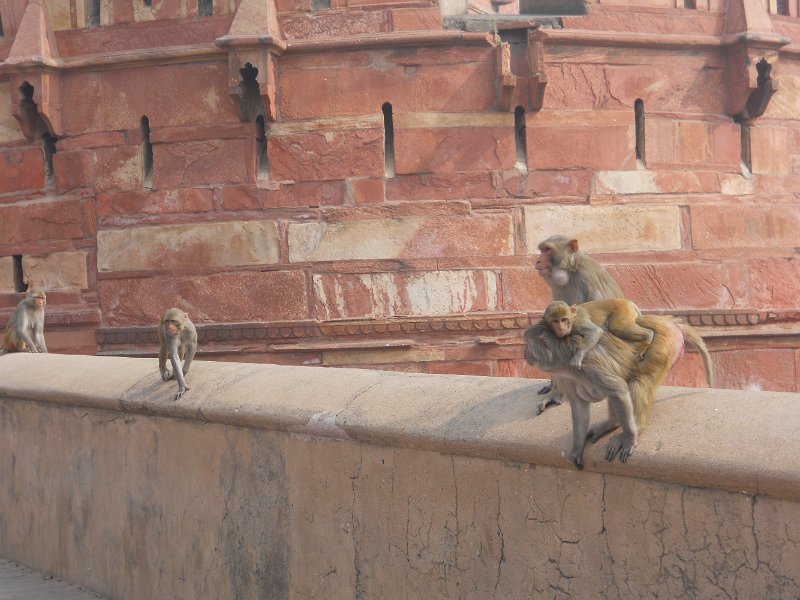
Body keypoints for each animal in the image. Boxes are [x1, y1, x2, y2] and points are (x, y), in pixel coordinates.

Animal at [524, 313, 713, 469]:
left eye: (527, 345)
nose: (524, 354)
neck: (562, 357)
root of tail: (667, 322)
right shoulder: (566, 377)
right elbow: (579, 406)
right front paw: (577, 450)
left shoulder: (587, 366)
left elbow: (618, 390)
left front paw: (630, 437)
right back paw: (611, 423)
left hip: (662, 346)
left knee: (638, 382)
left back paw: (636, 427)